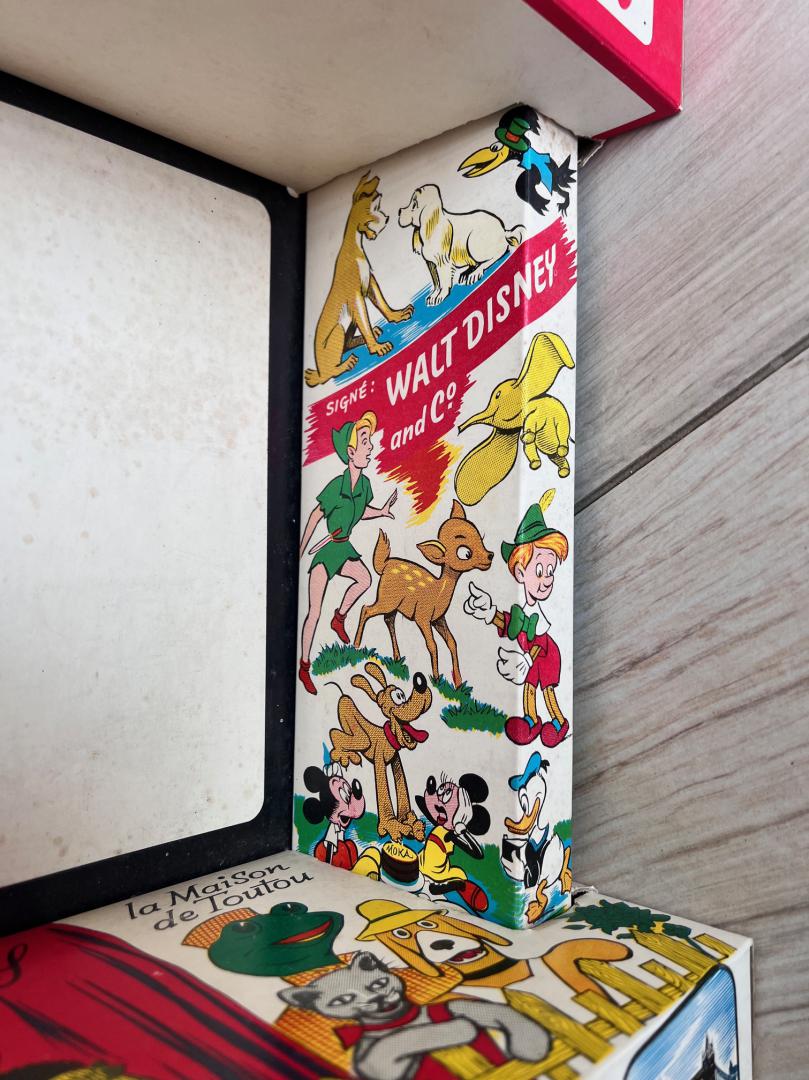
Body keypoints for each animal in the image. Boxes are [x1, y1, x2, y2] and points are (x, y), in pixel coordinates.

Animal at [353, 501, 493, 687]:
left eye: (480, 537)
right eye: (465, 553)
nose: (490, 556)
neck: (438, 592)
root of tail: (384, 564)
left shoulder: (439, 619)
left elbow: (452, 642)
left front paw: (458, 682)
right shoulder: (422, 616)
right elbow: (432, 644)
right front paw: (436, 678)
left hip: (393, 604)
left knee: (388, 620)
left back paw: (396, 657)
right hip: (386, 600)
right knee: (366, 609)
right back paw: (356, 645)